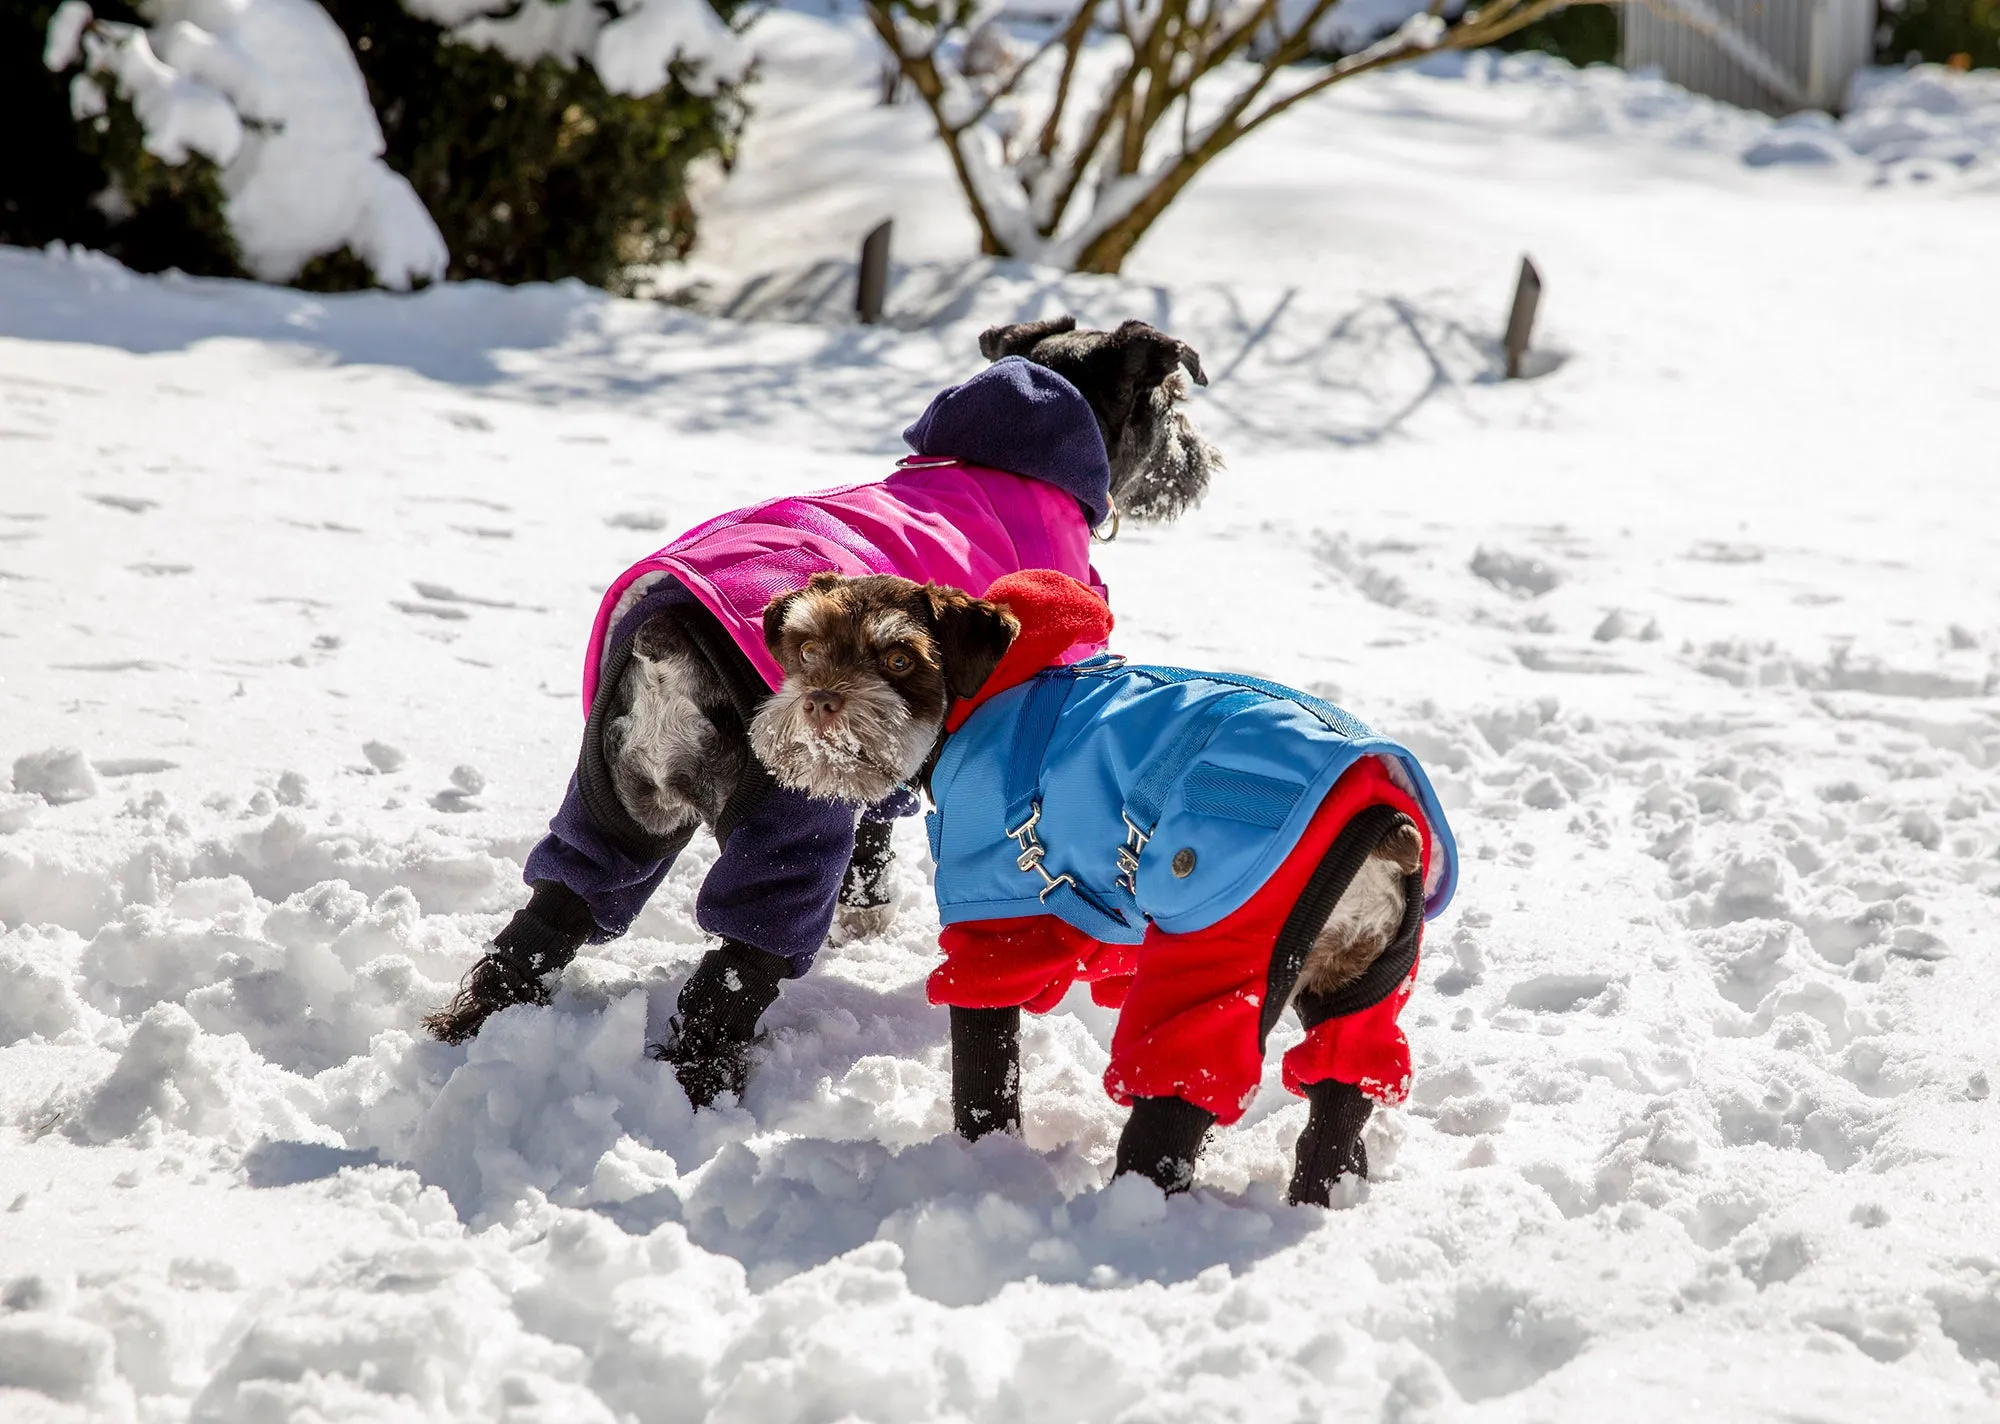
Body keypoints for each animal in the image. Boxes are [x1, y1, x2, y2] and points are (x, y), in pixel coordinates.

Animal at [430, 320, 1224, 1112]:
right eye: (1171, 400)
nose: (1199, 462)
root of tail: (667, 641)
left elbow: (874, 830)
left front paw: (865, 914)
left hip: (614, 806)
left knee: (553, 914)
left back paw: (468, 1032)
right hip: (787, 829)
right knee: (738, 966)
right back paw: (702, 1083)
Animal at [744, 568, 1464, 1200]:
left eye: (899, 660)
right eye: (806, 648)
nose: (821, 700)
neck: (981, 699)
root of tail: (1388, 824)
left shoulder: (995, 931)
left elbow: (984, 1077)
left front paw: (988, 1155)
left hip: (1216, 965)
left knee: (1170, 1121)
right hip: (1357, 984)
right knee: (1341, 1102)